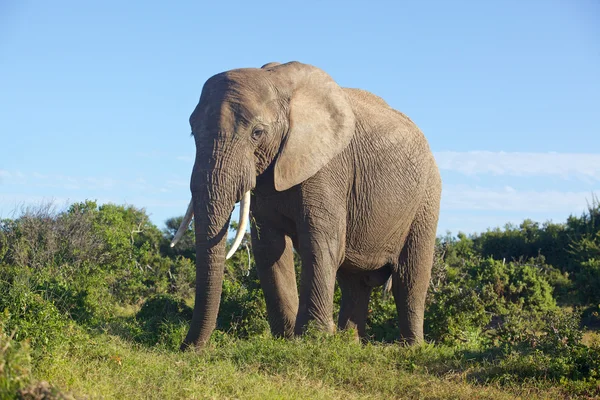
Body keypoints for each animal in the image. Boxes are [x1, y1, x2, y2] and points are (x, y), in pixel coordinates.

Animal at [171, 60, 442, 350]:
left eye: (257, 133)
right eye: (193, 131)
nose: (189, 349)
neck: (279, 83)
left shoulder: (329, 166)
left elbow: (320, 242)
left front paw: (313, 339)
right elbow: (269, 248)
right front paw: (287, 338)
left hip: (427, 197)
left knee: (410, 276)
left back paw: (411, 347)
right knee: (354, 281)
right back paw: (349, 344)